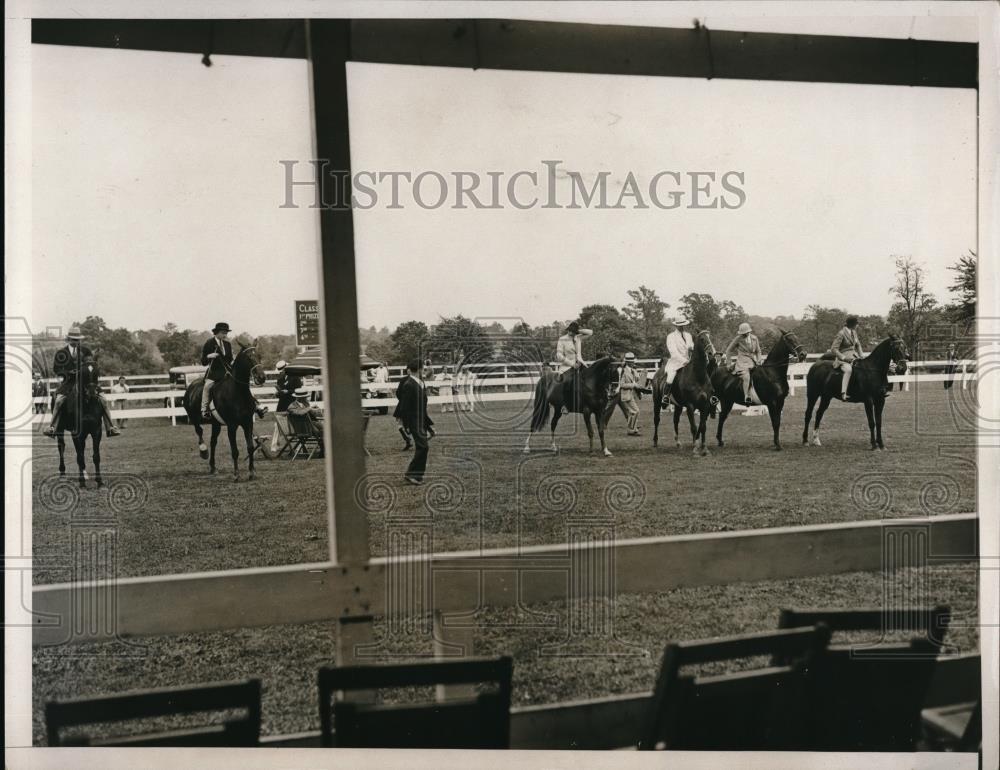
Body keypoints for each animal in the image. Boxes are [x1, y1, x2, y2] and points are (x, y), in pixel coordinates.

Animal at [54, 354, 104, 486]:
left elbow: (96, 456)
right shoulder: (76, 433)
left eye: (97, 372)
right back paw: (63, 474)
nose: (92, 392)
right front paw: (81, 483)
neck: (87, 404)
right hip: (60, 429)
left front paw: (99, 481)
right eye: (83, 373)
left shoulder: (96, 431)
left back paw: (85, 474)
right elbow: (80, 457)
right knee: (61, 447)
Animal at [181, 340, 266, 476]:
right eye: (248, 357)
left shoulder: (248, 423)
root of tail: (191, 386)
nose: (261, 377)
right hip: (194, 418)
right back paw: (204, 451)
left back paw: (213, 467)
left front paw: (252, 471)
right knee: (199, 432)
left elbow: (250, 447)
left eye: (259, 355)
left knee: (213, 441)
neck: (238, 392)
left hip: (216, 423)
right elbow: (235, 450)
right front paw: (236, 474)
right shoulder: (232, 425)